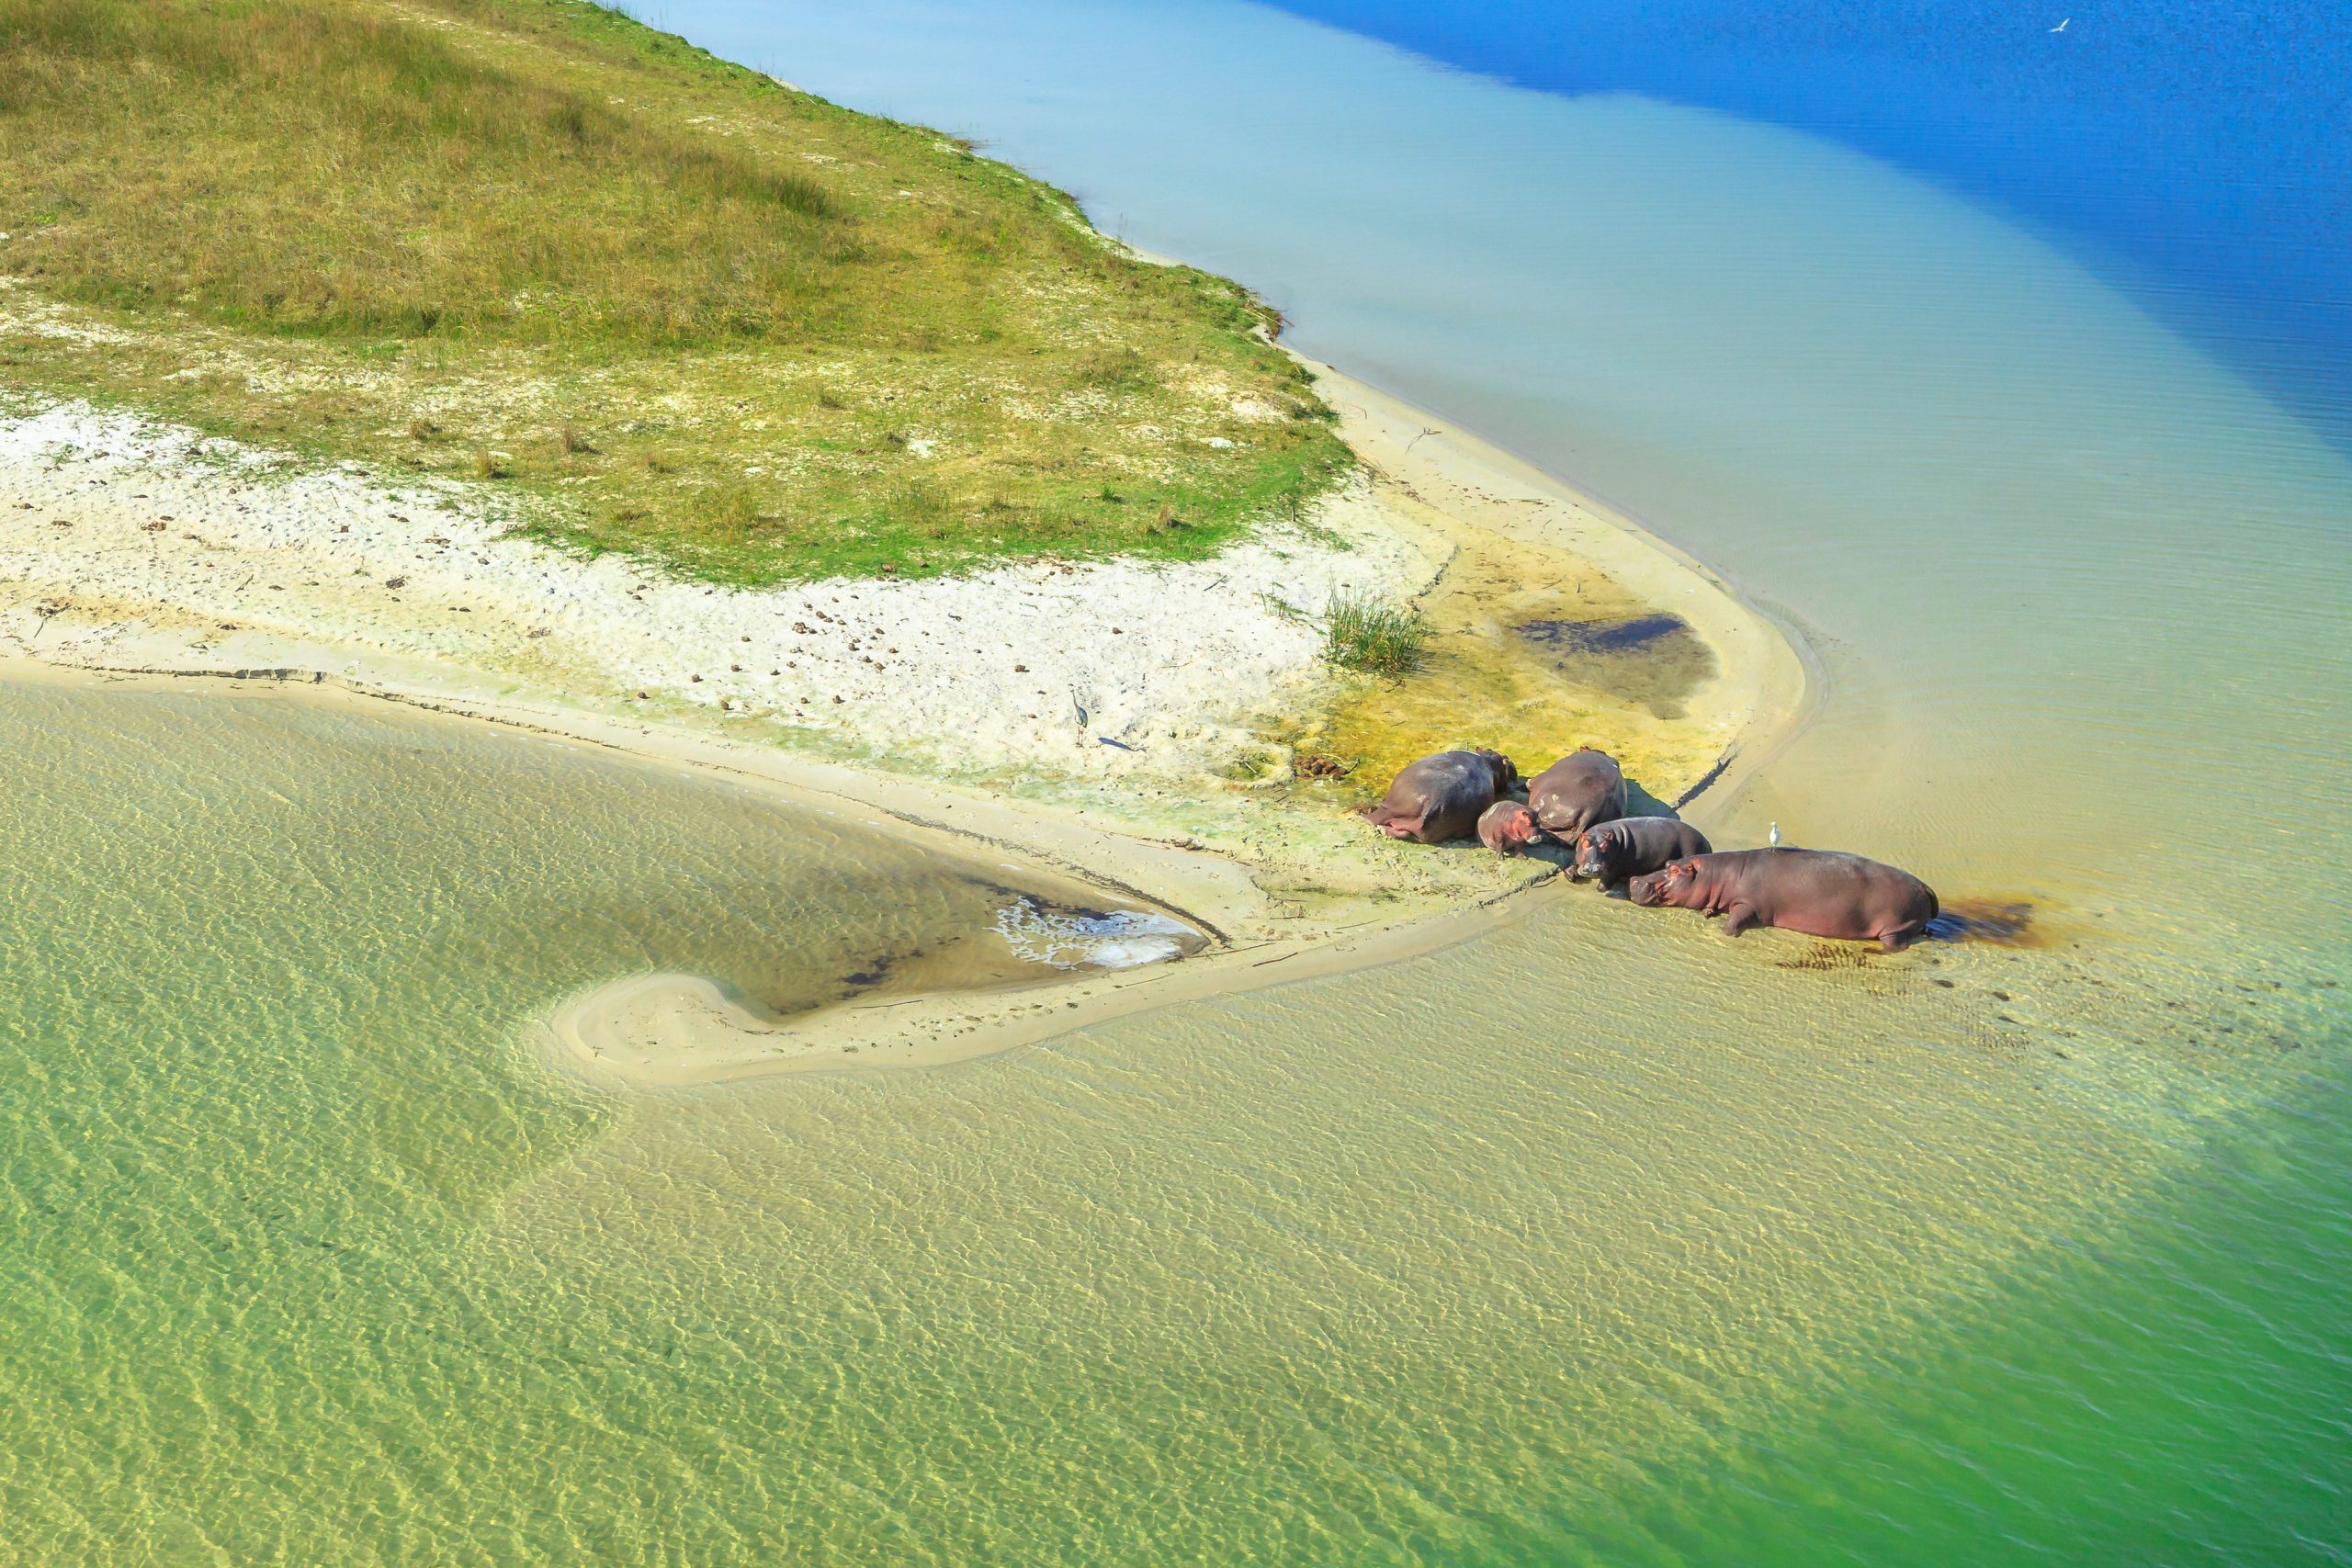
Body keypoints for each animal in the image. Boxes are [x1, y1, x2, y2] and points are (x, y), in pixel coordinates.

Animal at [1365, 749, 1518, 844]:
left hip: (1392, 804)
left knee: (1380, 818)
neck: (1489, 761)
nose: (1508, 757)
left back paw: (1369, 820)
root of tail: (1431, 801)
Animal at [1570, 816, 1712, 887]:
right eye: (1585, 844)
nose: (1593, 868)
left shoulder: (1613, 870)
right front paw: (1571, 874)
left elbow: (1604, 884)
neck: (1603, 833)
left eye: (1605, 845)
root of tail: (1706, 842)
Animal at [1628, 848, 1939, 950]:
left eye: (1674, 870)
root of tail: (1925, 885)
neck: (1719, 874)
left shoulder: (1748, 905)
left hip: (1893, 927)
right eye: (1669, 862)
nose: (1634, 880)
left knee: (1895, 946)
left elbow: (1734, 922)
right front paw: (1708, 912)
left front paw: (1727, 932)